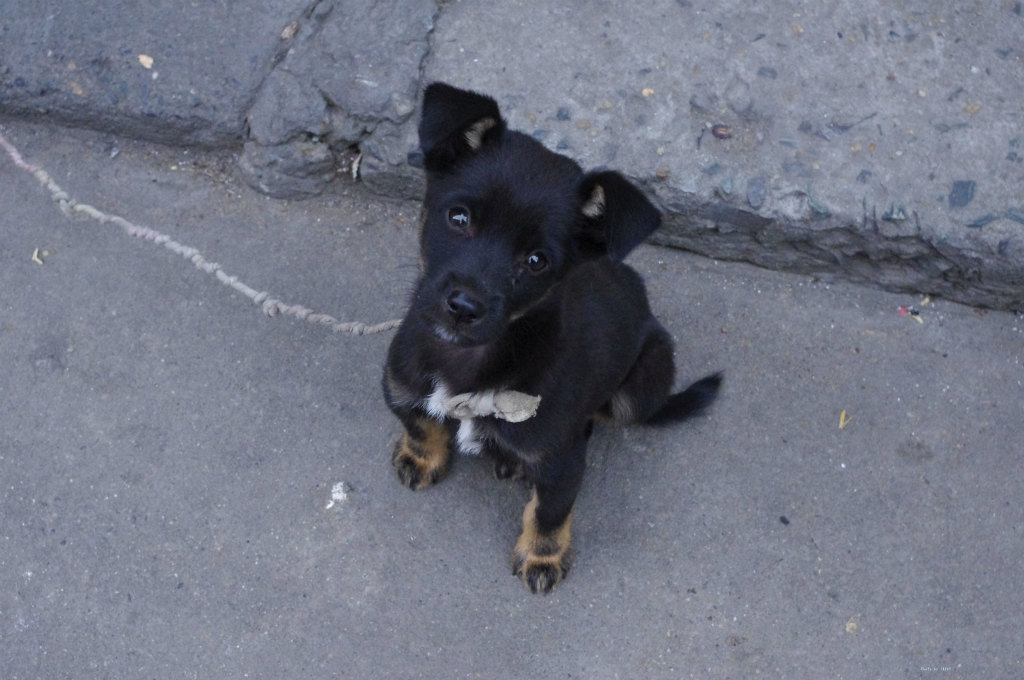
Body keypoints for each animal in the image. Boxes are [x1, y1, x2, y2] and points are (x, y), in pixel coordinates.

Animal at [382, 82, 721, 594]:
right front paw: (421, 458)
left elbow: (550, 511)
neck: (471, 363)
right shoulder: (402, 387)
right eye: (458, 217)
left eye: (536, 261)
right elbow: (421, 425)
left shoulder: (562, 463)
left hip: (643, 381)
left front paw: (543, 557)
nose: (463, 307)